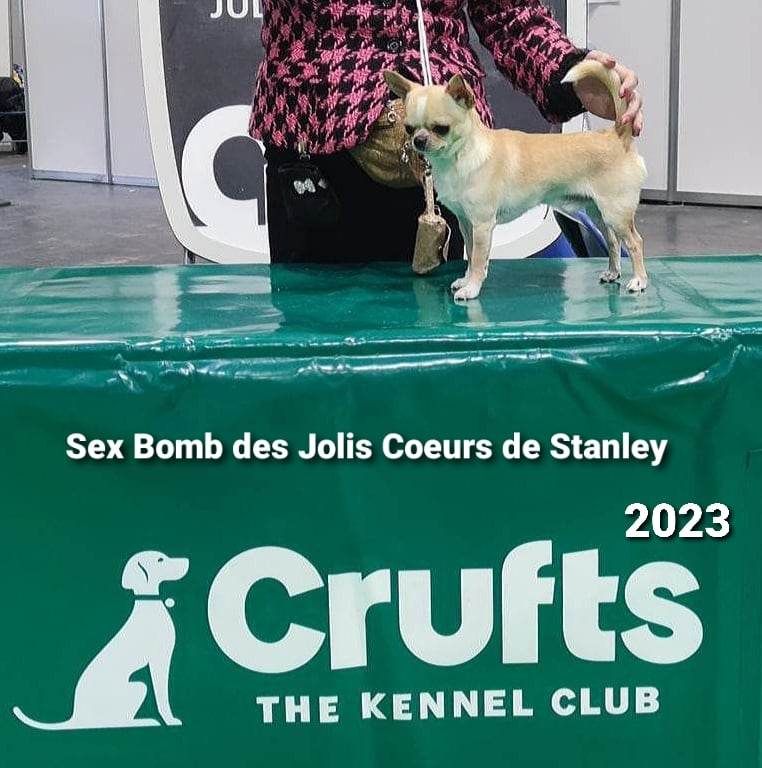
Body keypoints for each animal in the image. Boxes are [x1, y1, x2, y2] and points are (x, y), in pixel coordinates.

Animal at [13, 551, 189, 731]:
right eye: (160, 560)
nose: (187, 561)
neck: (149, 603)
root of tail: (76, 717)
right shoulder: (160, 658)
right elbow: (162, 695)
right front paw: (169, 719)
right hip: (138, 687)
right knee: (118, 719)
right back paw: (144, 721)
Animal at [385, 61, 648, 300]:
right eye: (408, 128)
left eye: (441, 128)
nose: (418, 140)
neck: (461, 157)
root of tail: (616, 134)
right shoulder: (466, 223)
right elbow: (471, 255)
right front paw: (466, 280)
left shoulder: (482, 225)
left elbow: (478, 259)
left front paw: (472, 288)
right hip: (600, 213)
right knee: (613, 241)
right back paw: (613, 273)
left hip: (616, 213)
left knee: (635, 242)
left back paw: (639, 281)